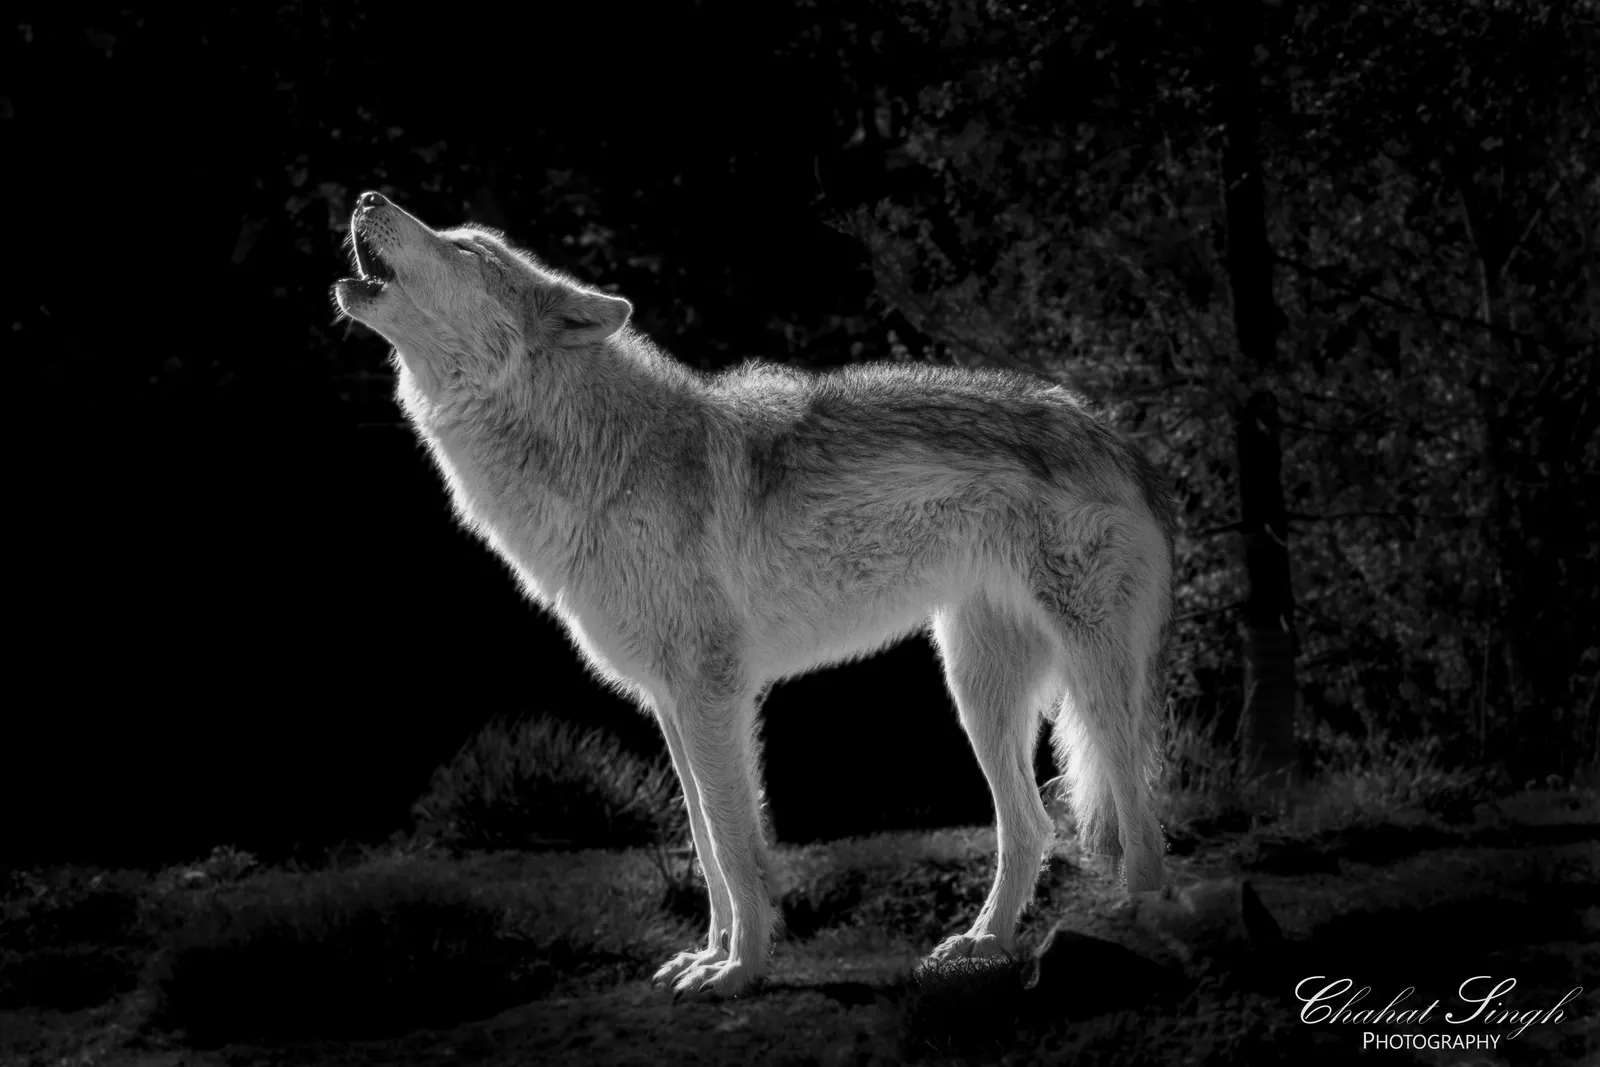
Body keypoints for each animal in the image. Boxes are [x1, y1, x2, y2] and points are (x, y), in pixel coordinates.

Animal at [333, 191, 1175, 999]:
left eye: (468, 248)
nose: (368, 195)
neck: (602, 460)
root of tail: (1119, 437)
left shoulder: (714, 692)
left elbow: (738, 847)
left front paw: (738, 972)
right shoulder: (670, 704)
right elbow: (705, 844)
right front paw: (708, 954)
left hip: (1092, 687)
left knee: (1140, 816)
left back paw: (1141, 923)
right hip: (976, 691)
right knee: (1031, 826)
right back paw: (982, 943)